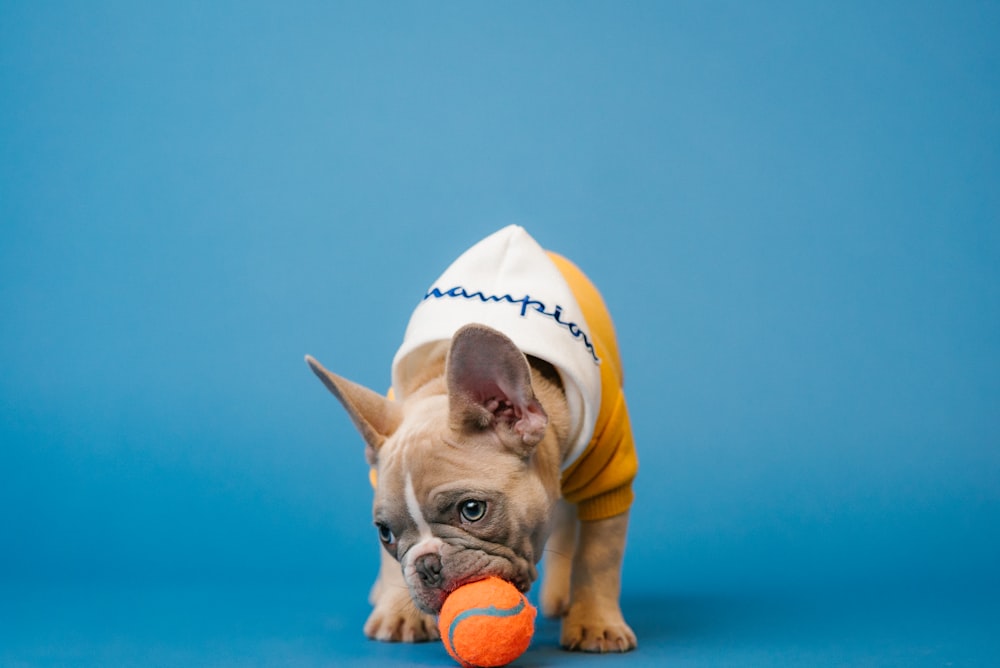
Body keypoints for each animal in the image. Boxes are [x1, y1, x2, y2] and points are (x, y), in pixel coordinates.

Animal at [302, 228, 640, 652]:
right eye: (385, 533)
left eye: (473, 510)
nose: (428, 564)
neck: (438, 384)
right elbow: (392, 567)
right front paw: (399, 611)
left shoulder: (609, 479)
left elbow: (598, 556)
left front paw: (596, 624)